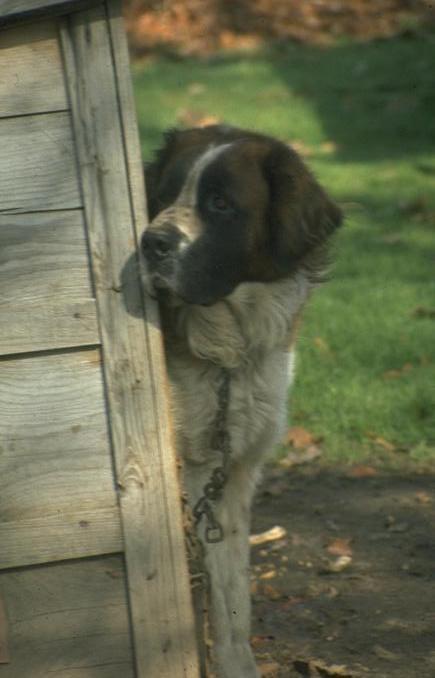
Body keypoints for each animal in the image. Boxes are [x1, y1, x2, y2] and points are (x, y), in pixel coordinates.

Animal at [141, 125, 342, 676]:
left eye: (220, 204)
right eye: (163, 196)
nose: (150, 242)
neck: (226, 362)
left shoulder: (230, 475)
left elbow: (232, 599)